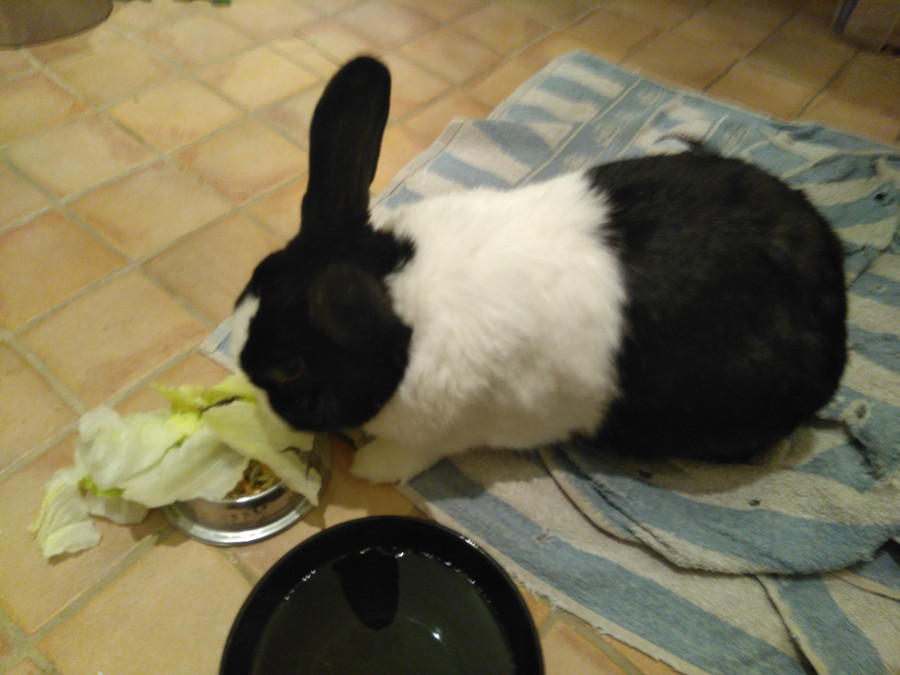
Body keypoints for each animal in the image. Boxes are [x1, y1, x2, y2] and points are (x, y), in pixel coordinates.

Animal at [231, 56, 847, 485]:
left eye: (289, 369)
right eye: (256, 273)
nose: (246, 379)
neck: (403, 295)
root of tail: (834, 298)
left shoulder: (443, 432)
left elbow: (411, 454)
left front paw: (371, 466)